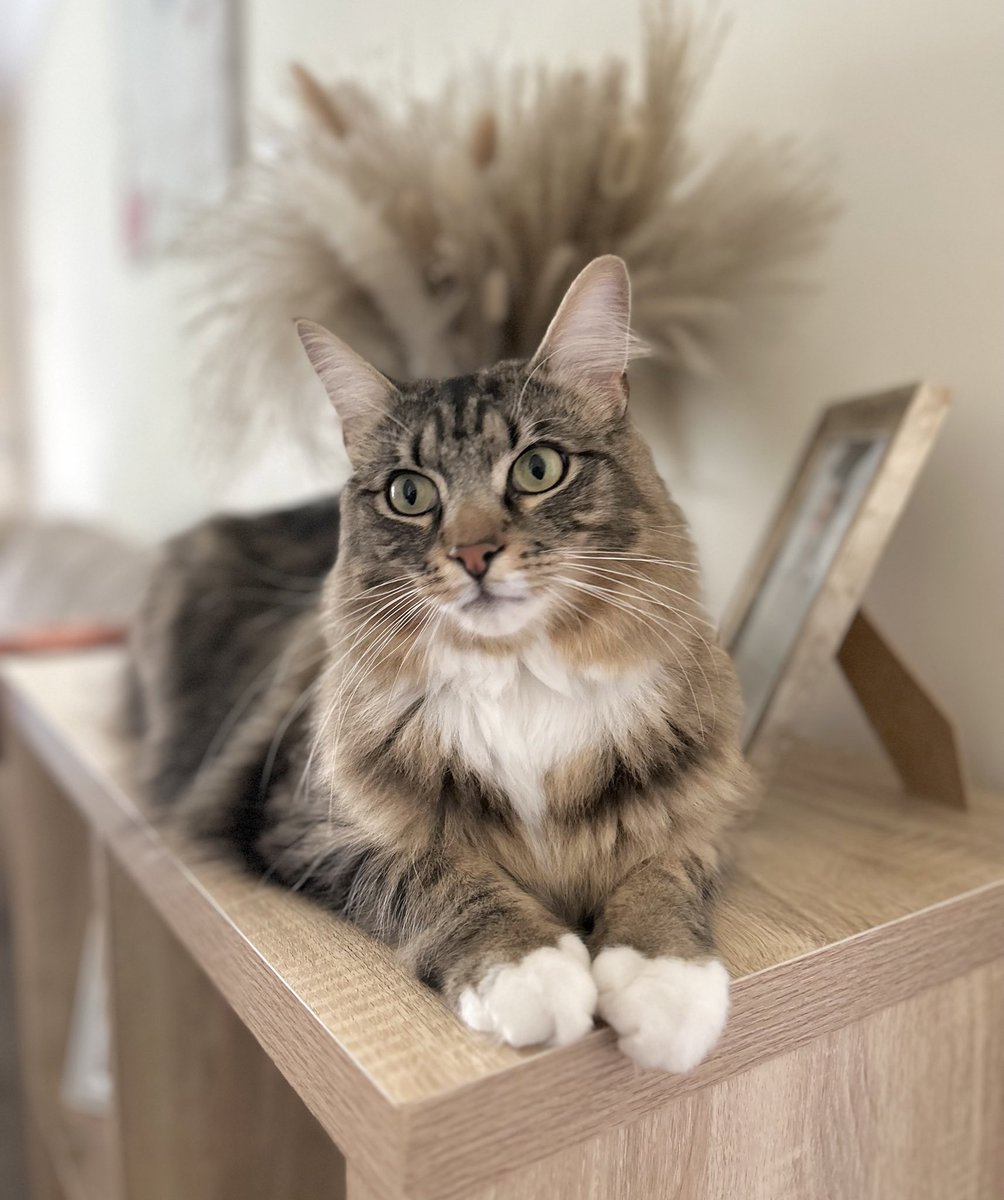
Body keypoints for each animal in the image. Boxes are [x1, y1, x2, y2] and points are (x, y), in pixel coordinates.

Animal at [127, 258, 753, 1075]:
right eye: (410, 492)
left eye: (539, 468)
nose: (474, 553)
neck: (518, 675)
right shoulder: (310, 825)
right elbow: (438, 875)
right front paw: (531, 969)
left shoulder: (699, 810)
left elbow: (663, 876)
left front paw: (666, 986)